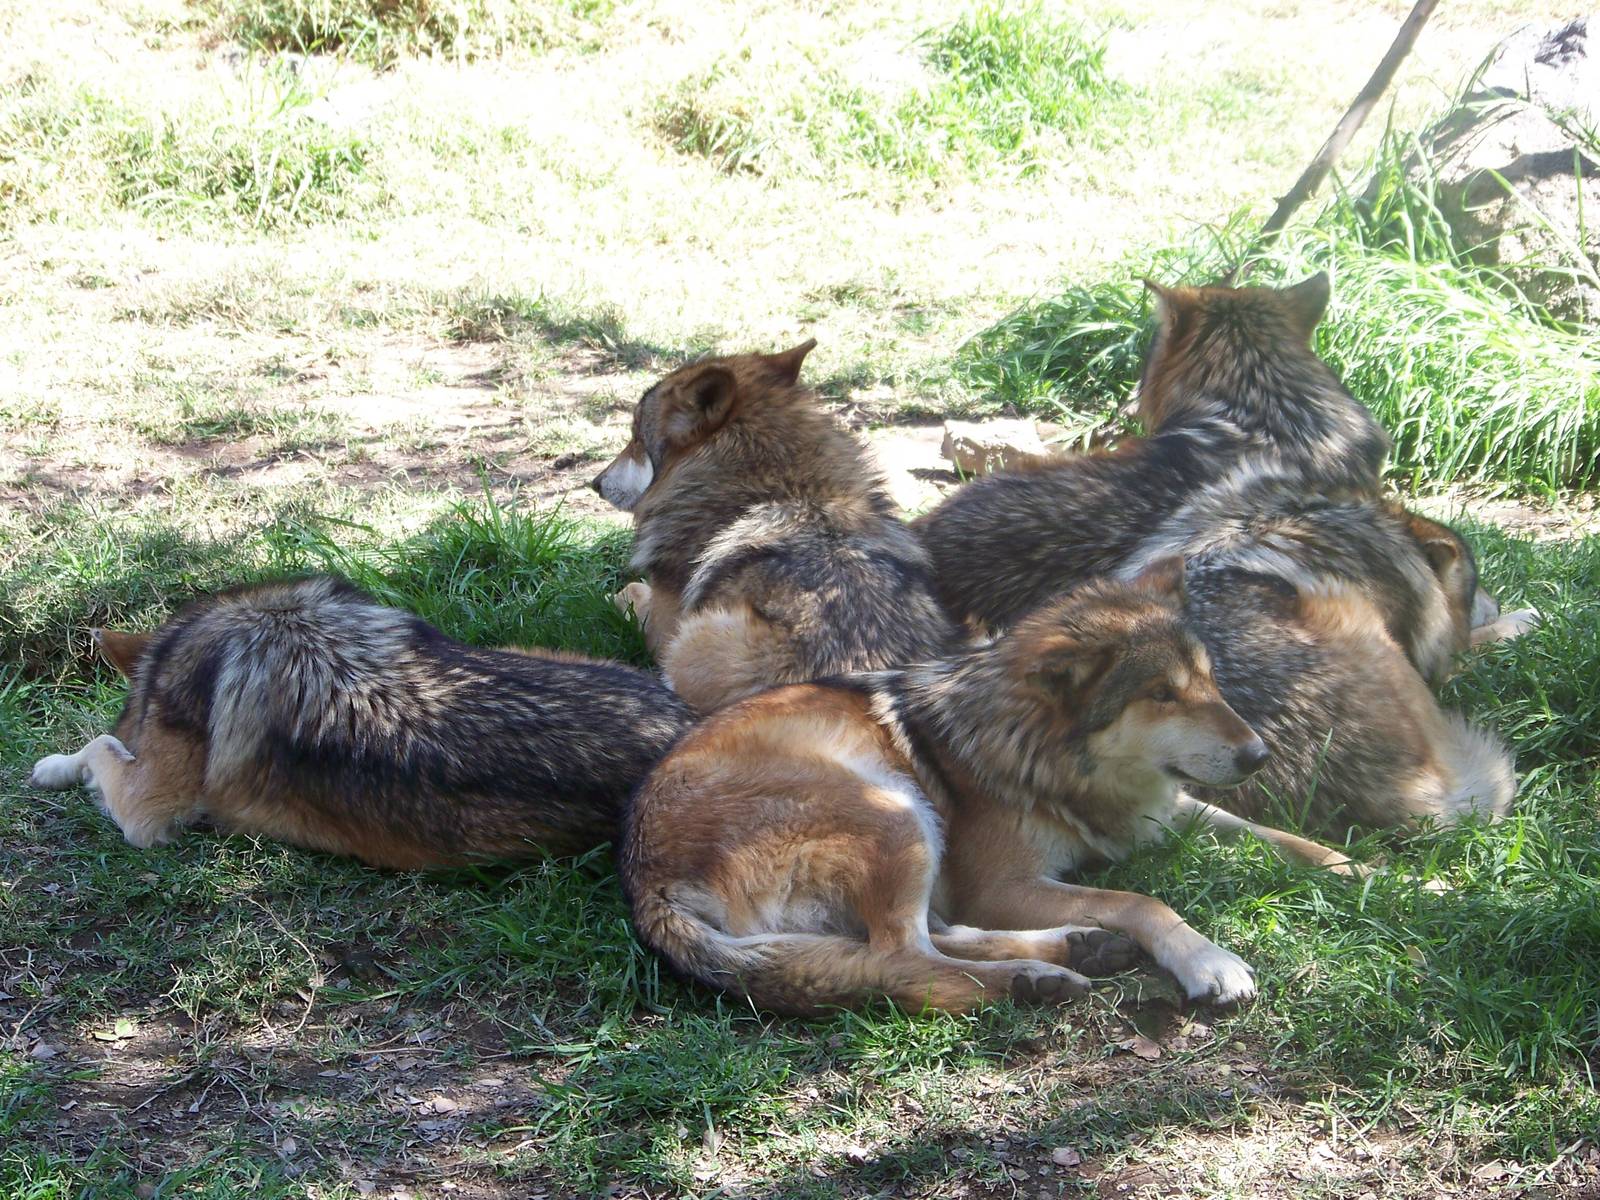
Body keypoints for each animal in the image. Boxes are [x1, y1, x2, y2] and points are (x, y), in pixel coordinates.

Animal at [590, 339, 957, 712]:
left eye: (636, 439)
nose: (596, 483)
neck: (782, 488)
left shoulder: (665, 624)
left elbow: (634, 592)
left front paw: (616, 594)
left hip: (694, 638)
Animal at [622, 560, 1367, 1016]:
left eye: (1209, 681)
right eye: (1161, 694)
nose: (1258, 754)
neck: (1045, 754)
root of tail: (646, 883)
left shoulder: (1168, 808)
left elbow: (1281, 838)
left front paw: (1371, 873)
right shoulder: (1001, 884)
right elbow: (1141, 900)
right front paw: (1208, 960)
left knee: (924, 938)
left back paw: (1073, 949)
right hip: (893, 809)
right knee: (902, 958)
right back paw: (1034, 980)